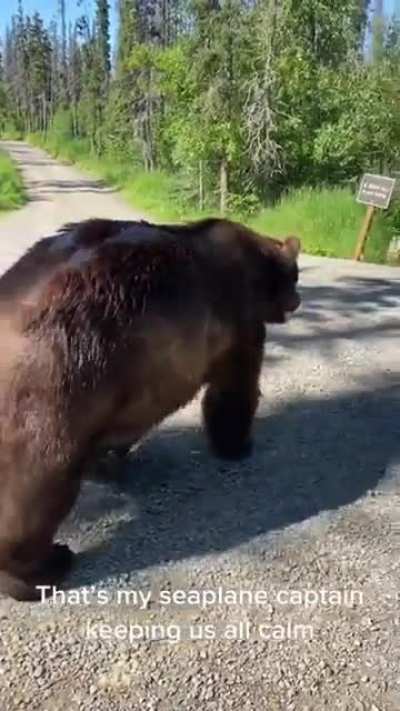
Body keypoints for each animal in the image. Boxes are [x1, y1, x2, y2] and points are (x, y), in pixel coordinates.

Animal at [0, 217, 300, 600]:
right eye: (295, 275)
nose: (298, 299)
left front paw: (108, 460)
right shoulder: (236, 322)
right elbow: (233, 391)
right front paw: (238, 444)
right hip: (59, 373)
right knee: (39, 478)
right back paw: (43, 567)